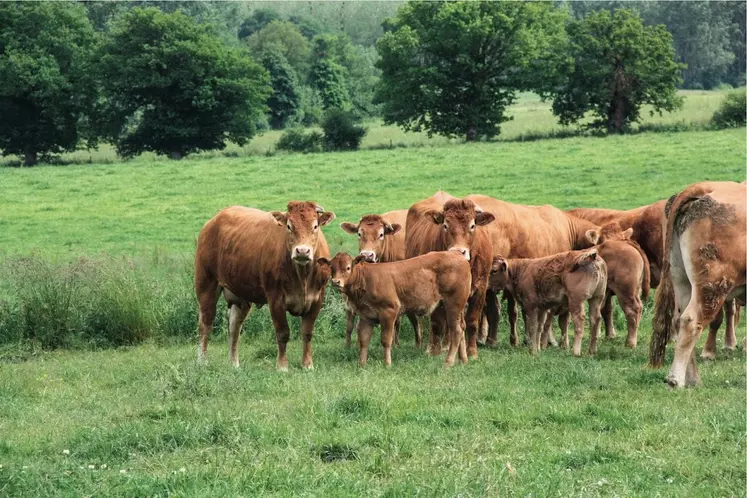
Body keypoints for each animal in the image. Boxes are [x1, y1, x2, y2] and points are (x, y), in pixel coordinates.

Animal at [194, 201, 334, 370]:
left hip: (241, 295)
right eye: (289, 226)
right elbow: (282, 333)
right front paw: (282, 366)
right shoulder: (275, 298)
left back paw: (234, 364)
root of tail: (214, 220)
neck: (303, 277)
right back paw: (202, 361)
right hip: (206, 284)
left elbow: (307, 333)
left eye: (315, 226)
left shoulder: (317, 299)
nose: (302, 251)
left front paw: (307, 365)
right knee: (206, 323)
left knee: (234, 327)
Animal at [324, 253, 470, 366]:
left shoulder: (389, 311)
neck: (366, 279)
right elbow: (364, 340)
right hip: (456, 307)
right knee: (462, 328)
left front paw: (387, 363)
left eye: (348, 268)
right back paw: (463, 360)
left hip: (453, 304)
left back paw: (448, 362)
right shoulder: (366, 316)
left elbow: (386, 340)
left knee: (456, 330)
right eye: (331, 267)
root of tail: (458, 255)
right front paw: (362, 364)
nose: (335, 282)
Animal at [406, 193, 494, 360]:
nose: (459, 251)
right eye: (445, 226)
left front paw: (472, 352)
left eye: (472, 226)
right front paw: (434, 351)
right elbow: (436, 322)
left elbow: (472, 321)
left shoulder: (481, 288)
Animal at [648, 181, 747, 388]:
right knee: (691, 321)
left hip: (682, 281)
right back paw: (675, 379)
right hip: (712, 286)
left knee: (679, 320)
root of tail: (701, 188)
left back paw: (692, 379)